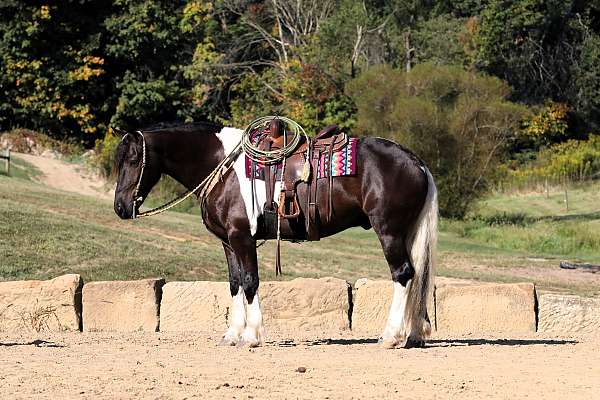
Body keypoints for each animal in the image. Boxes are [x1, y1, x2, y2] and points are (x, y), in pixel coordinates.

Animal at [113, 123, 436, 348]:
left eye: (133, 159)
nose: (120, 207)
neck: (223, 167)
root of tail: (416, 162)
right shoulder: (227, 242)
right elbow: (234, 284)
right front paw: (232, 334)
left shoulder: (242, 237)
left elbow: (250, 281)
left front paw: (251, 336)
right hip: (406, 233)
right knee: (417, 276)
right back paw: (414, 335)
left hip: (389, 232)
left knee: (403, 274)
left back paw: (390, 337)